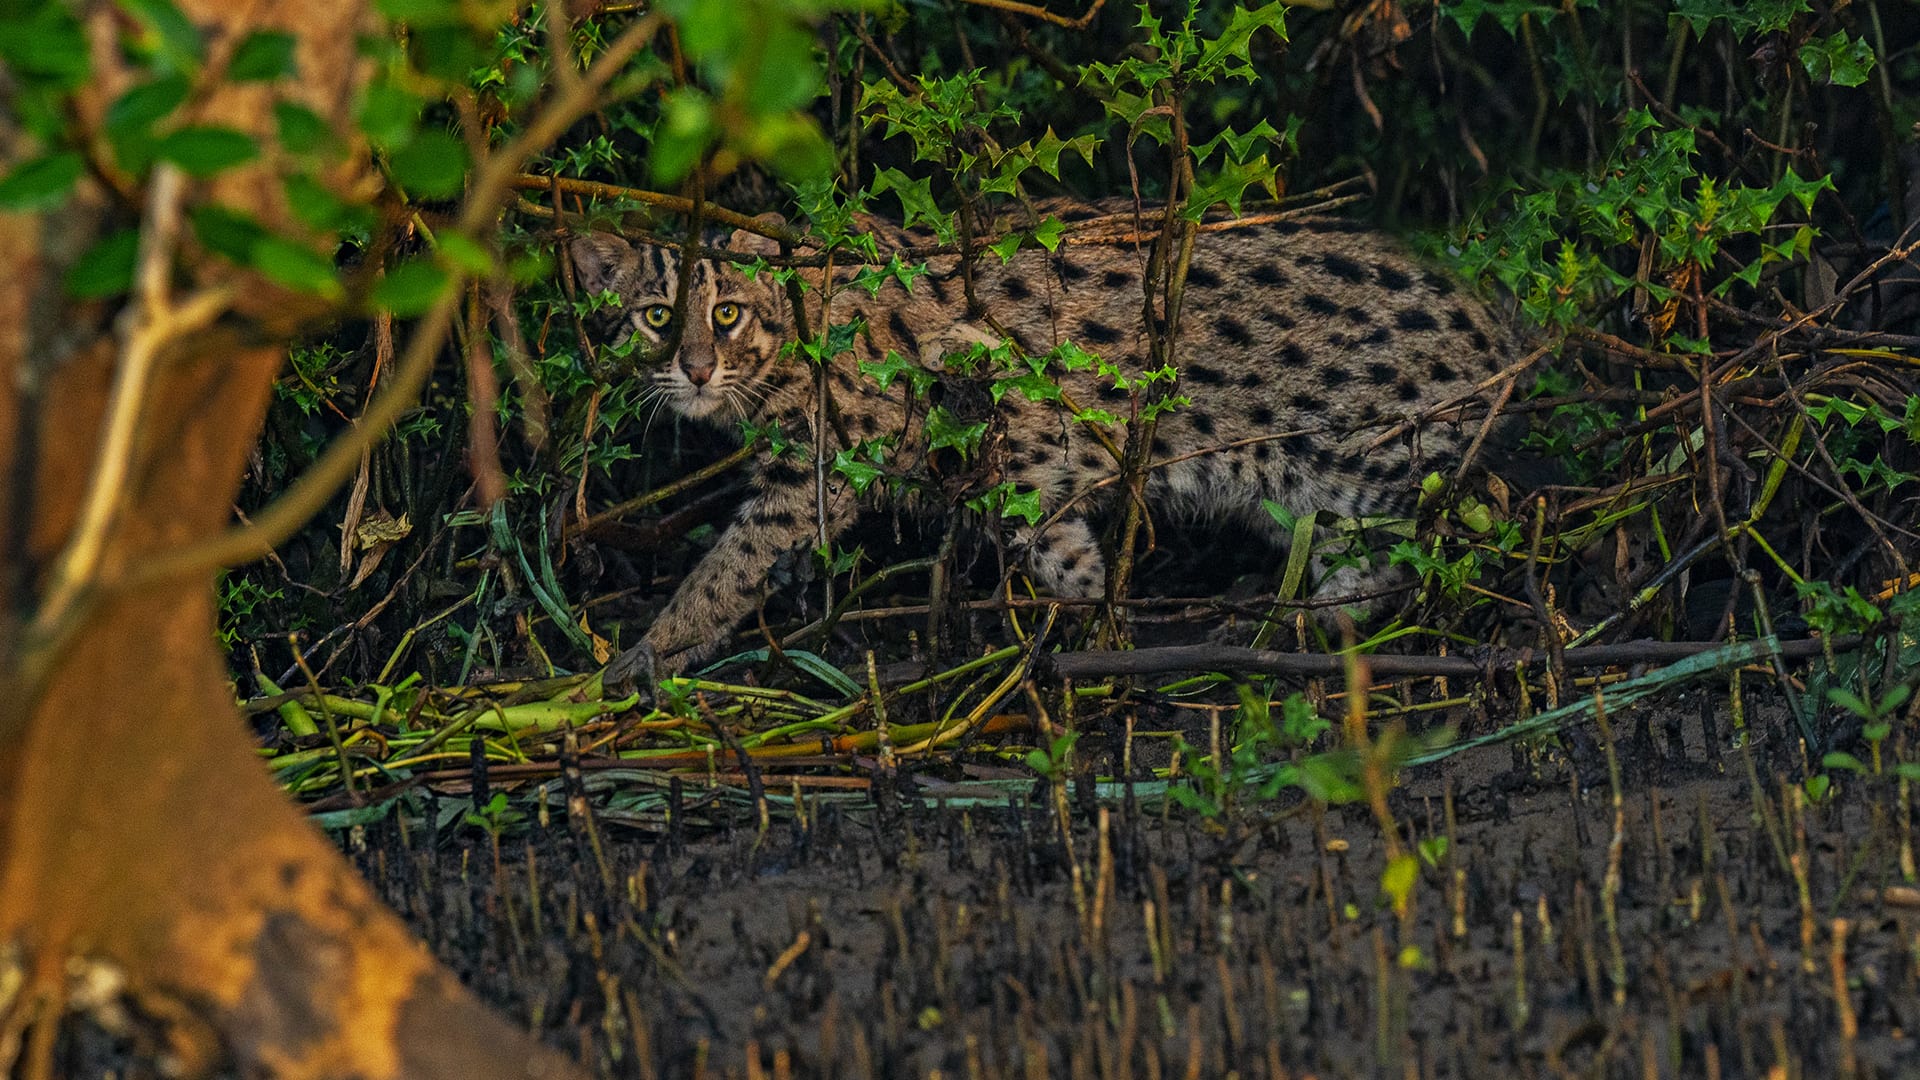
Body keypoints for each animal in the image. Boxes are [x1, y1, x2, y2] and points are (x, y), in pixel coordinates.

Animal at [568, 205, 1512, 668]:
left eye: (725, 314)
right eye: (656, 318)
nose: (693, 371)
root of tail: (1500, 331)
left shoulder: (821, 468)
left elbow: (727, 568)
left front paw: (647, 653)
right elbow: (1047, 532)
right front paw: (1088, 590)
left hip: (1357, 460)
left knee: (1426, 544)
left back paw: (1314, 618)